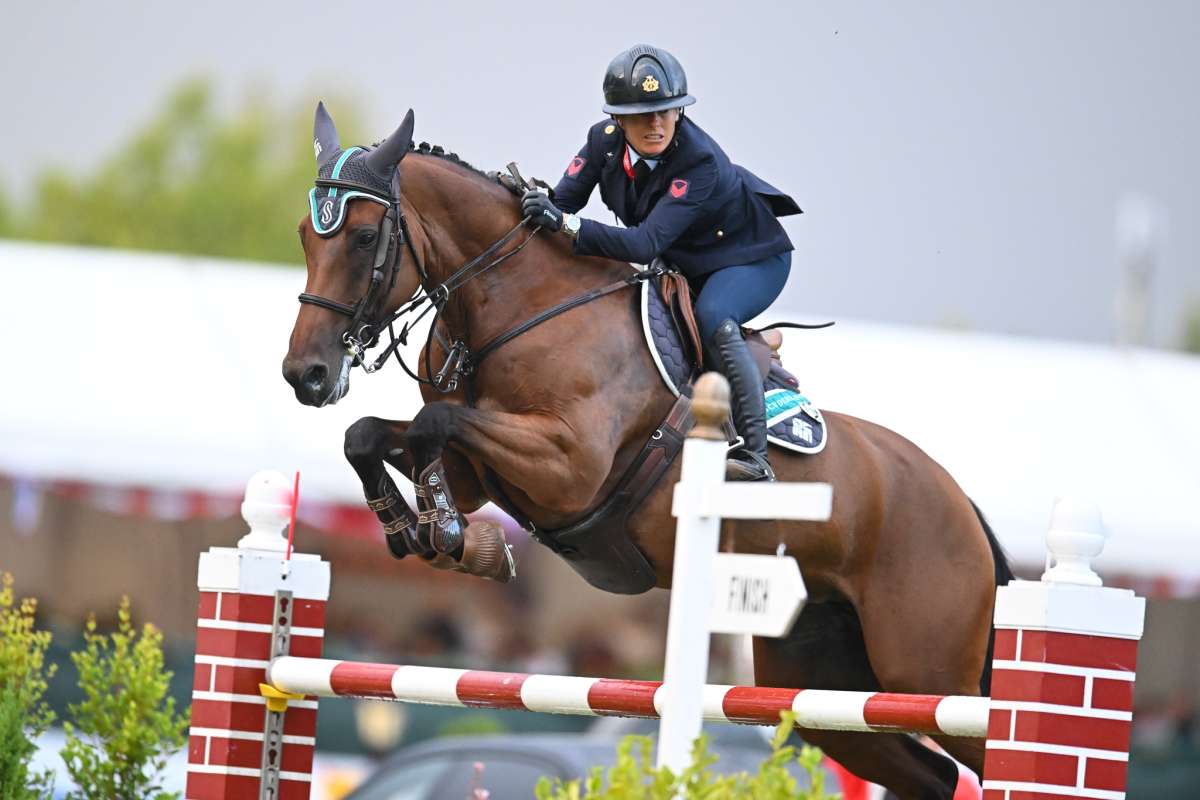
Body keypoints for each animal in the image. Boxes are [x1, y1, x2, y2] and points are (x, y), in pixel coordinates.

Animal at [280, 107, 1012, 800]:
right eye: (305, 236)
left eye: (364, 237)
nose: (305, 376)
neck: (517, 307)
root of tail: (964, 507)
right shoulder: (480, 471)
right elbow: (374, 435)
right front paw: (424, 532)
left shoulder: (567, 466)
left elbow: (435, 422)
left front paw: (455, 537)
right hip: (822, 686)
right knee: (931, 776)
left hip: (926, 670)